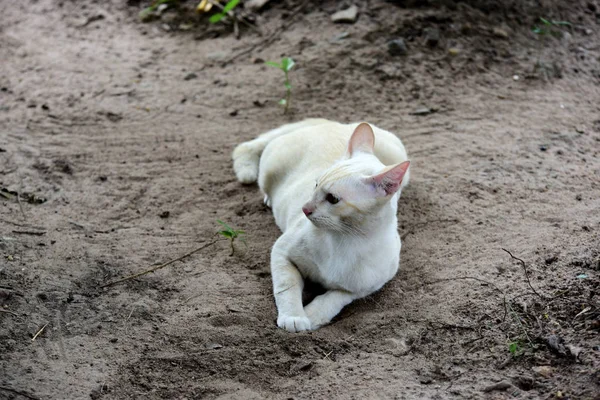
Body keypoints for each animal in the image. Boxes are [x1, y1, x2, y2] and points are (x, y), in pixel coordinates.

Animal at [232, 120, 410, 332]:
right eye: (315, 185)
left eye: (332, 199)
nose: (305, 208)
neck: (347, 239)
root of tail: (332, 122)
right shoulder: (282, 252)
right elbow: (287, 287)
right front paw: (294, 317)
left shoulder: (363, 288)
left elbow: (333, 299)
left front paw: (312, 316)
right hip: (267, 173)